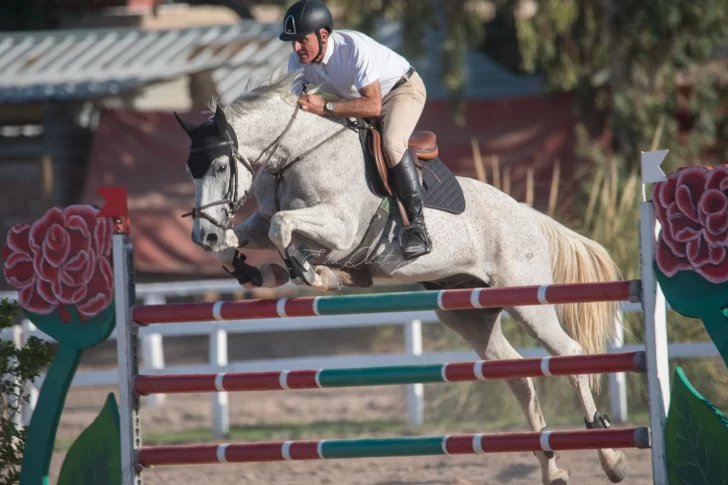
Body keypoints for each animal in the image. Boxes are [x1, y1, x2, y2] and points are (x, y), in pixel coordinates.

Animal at [175, 69, 624, 484]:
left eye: (219, 166)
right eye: (191, 170)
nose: (201, 234)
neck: (297, 155)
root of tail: (528, 214)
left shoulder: (339, 228)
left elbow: (281, 227)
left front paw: (315, 274)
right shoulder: (268, 218)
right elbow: (252, 232)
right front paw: (251, 264)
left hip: (526, 301)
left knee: (569, 354)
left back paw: (610, 456)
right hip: (469, 313)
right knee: (519, 377)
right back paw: (553, 468)